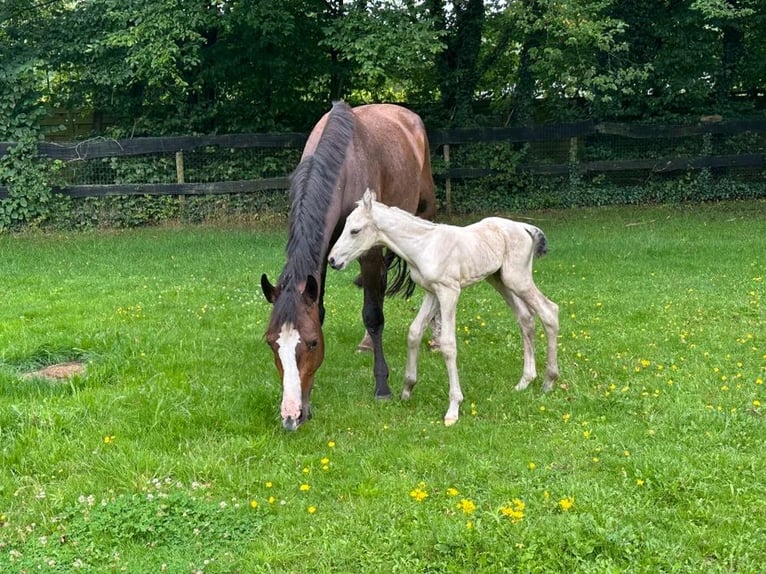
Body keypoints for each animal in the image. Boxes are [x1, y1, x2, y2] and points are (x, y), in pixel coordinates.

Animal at [260, 102, 436, 432]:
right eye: (271, 344)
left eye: (313, 343)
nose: (291, 417)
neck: (343, 165)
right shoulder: (323, 256)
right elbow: (322, 309)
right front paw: (308, 401)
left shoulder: (369, 250)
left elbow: (373, 314)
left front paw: (382, 387)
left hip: (425, 213)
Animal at [328, 190, 560, 428]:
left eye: (355, 230)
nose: (333, 260)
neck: (423, 245)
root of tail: (524, 227)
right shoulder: (432, 292)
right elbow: (414, 332)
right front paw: (407, 389)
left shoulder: (449, 291)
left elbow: (448, 344)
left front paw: (453, 408)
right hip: (500, 280)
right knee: (526, 318)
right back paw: (524, 382)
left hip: (518, 279)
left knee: (549, 311)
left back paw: (548, 381)